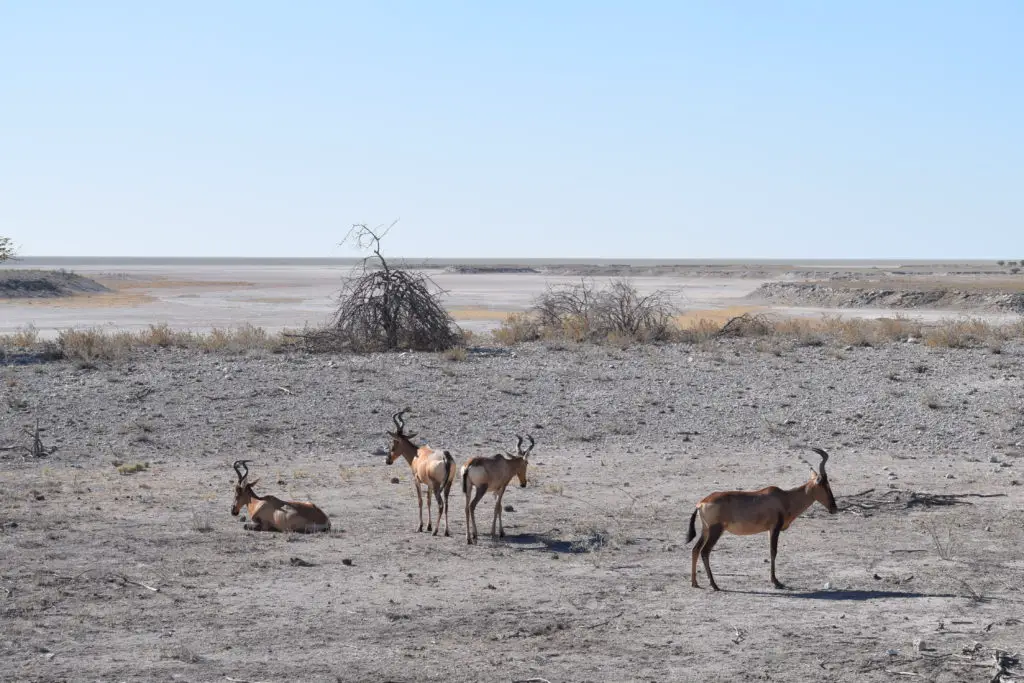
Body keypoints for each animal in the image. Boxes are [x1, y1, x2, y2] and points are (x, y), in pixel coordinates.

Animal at [688, 446, 839, 589]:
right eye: (825, 485)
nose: (834, 508)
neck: (784, 497)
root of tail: (701, 503)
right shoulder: (775, 528)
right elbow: (773, 552)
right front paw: (776, 582)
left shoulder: (769, 530)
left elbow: (770, 551)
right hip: (716, 530)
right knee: (704, 552)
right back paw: (714, 585)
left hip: (706, 530)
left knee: (695, 549)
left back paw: (695, 582)